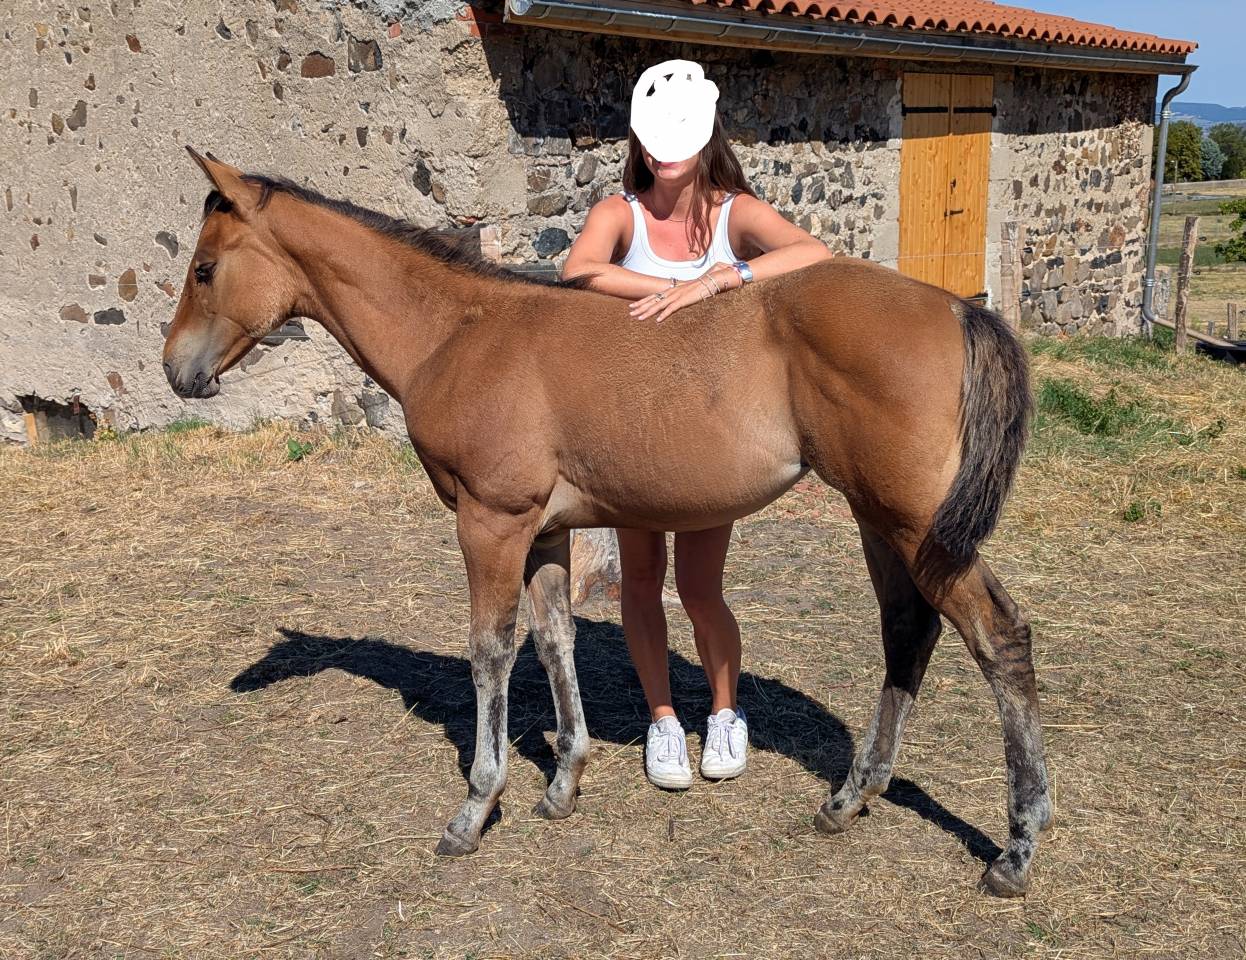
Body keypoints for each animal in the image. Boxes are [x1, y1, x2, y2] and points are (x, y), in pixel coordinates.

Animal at [162, 148, 1051, 896]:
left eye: (206, 268)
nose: (178, 371)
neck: (460, 332)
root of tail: (956, 310)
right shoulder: (546, 531)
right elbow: (554, 638)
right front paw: (564, 783)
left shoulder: (490, 521)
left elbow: (491, 652)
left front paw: (475, 809)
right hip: (879, 519)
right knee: (908, 630)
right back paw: (851, 796)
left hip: (913, 522)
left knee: (997, 634)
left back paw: (1015, 847)